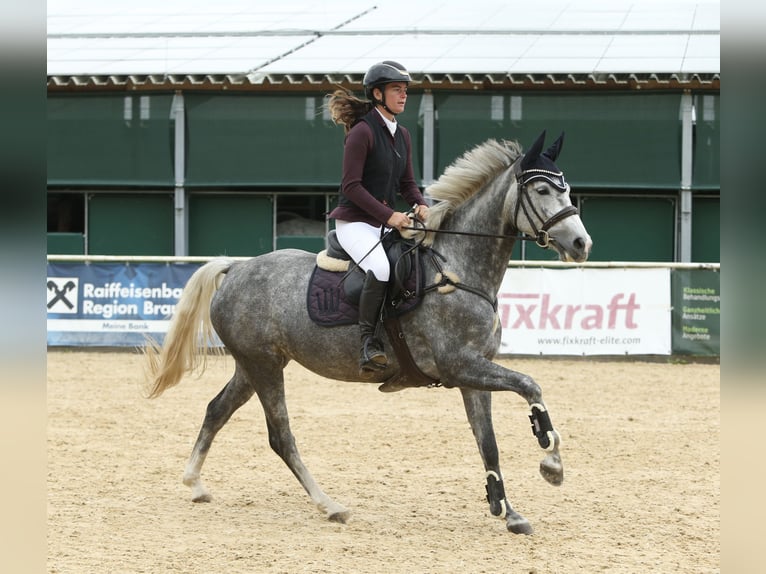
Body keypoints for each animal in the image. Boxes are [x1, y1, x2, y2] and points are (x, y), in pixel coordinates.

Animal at [144, 130, 592, 536]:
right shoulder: (459, 365)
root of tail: (236, 268)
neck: (456, 269)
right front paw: (551, 462)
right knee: (281, 436)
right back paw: (330, 506)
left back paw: (195, 484)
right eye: (541, 189)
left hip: (254, 364)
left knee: (217, 409)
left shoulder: (473, 373)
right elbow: (530, 385)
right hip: (264, 366)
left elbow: (489, 443)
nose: (581, 243)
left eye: (567, 189)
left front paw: (508, 511)